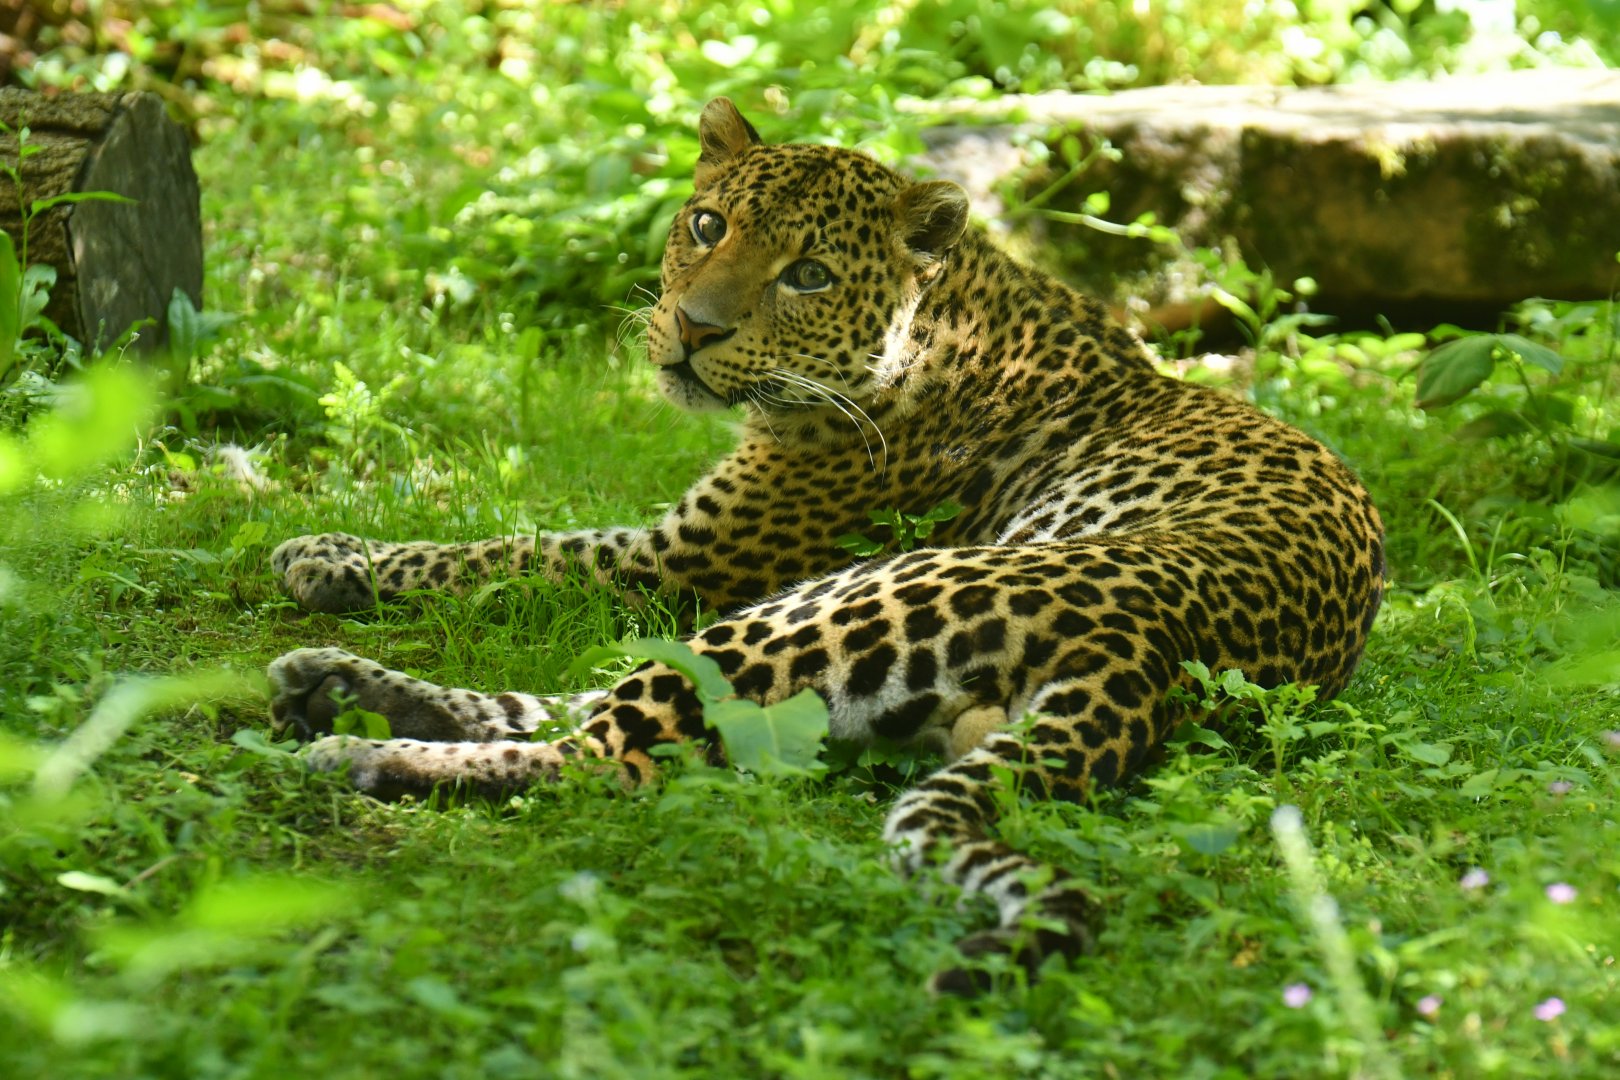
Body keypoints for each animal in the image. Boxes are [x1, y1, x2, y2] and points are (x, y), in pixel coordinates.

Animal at [265, 97, 1385, 993]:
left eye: (807, 274)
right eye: (706, 225)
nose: (694, 328)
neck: (942, 318)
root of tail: (1149, 658)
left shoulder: (685, 557)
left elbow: (505, 550)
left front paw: (330, 556)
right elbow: (516, 546)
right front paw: (329, 550)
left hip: (837, 595)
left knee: (601, 753)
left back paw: (353, 750)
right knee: (585, 706)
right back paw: (332, 684)